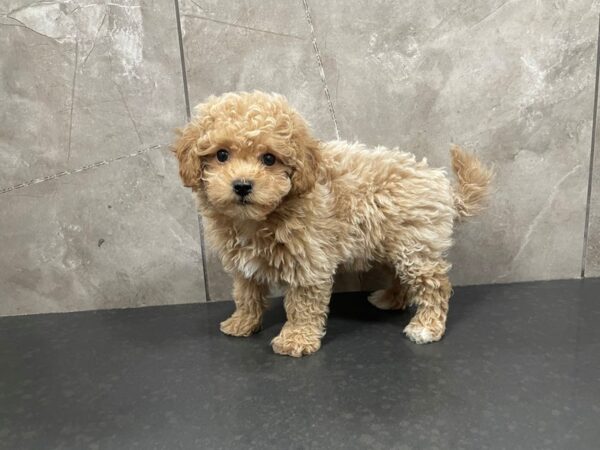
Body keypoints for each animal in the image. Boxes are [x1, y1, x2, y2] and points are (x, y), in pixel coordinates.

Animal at [172, 92, 492, 358]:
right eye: (221, 155)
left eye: (269, 159)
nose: (241, 186)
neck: (259, 218)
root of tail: (442, 186)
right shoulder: (243, 264)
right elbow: (246, 293)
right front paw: (242, 322)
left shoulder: (308, 264)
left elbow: (302, 305)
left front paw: (295, 340)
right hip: (395, 243)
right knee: (402, 277)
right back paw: (389, 299)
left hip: (415, 246)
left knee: (435, 285)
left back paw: (427, 326)